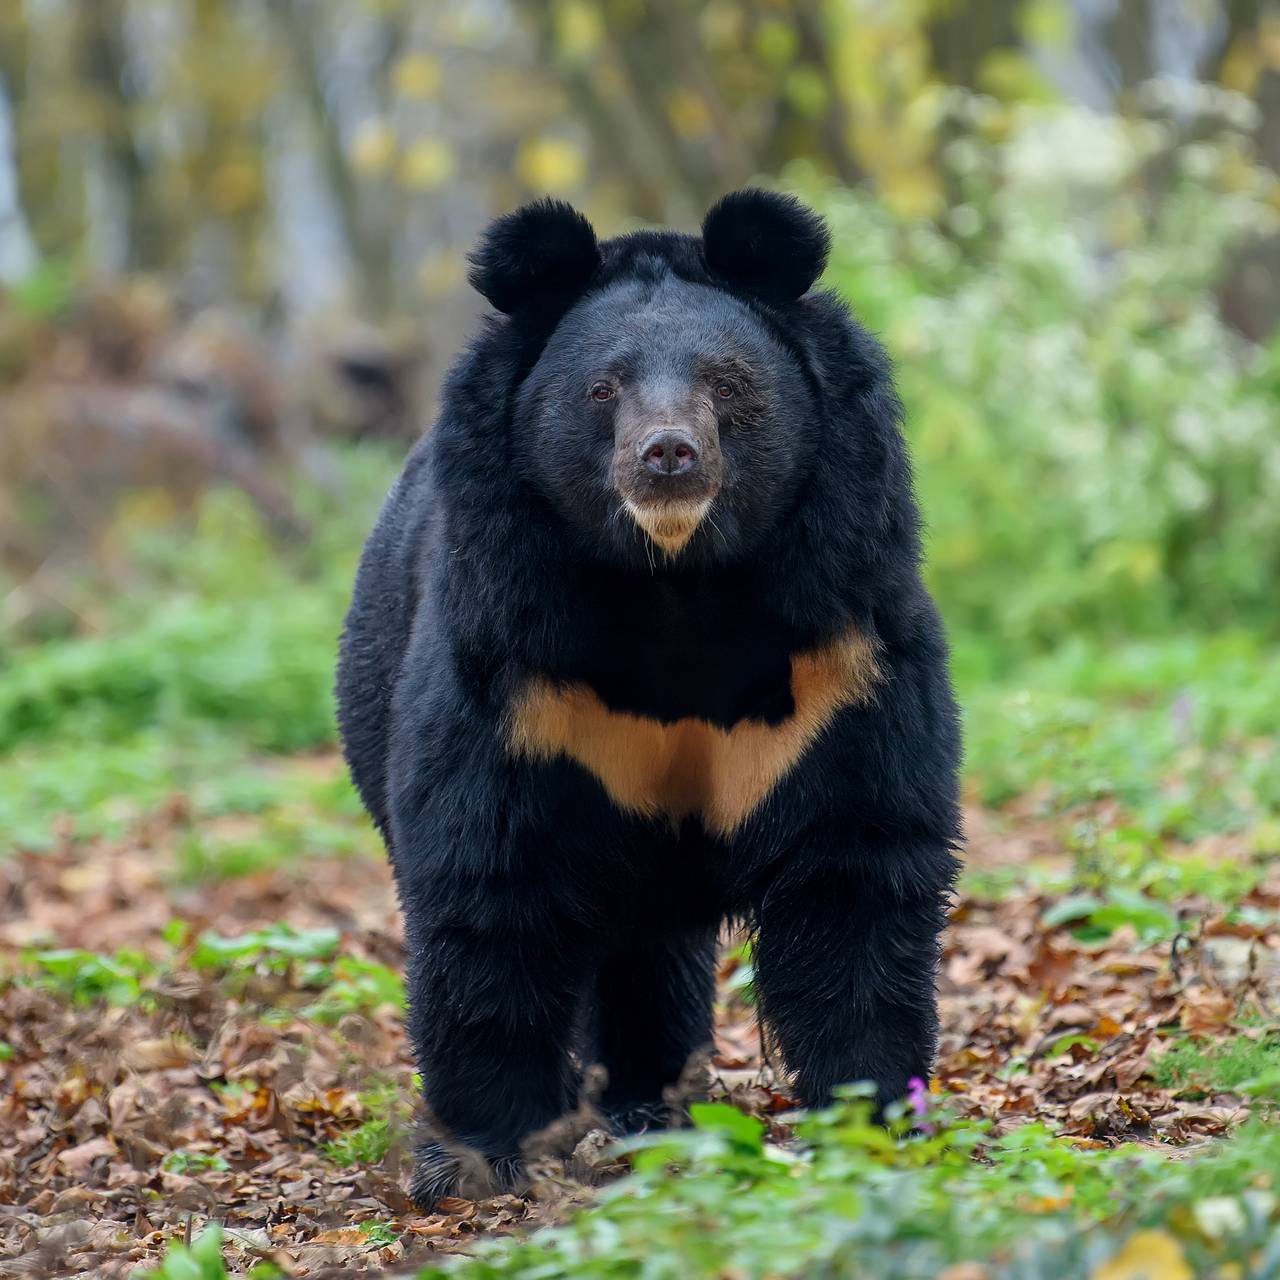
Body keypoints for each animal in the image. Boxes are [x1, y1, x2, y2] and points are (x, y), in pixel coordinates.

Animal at [336, 189, 962, 1208]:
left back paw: (655, 1107)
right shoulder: (515, 665)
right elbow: (491, 881)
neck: (677, 584)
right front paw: (477, 1159)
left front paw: (872, 1115)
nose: (668, 456)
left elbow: (855, 867)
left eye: (728, 381)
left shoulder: (843, 647)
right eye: (603, 390)